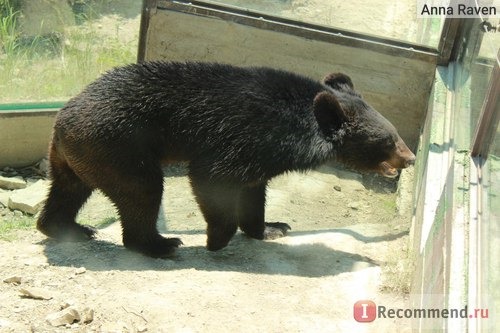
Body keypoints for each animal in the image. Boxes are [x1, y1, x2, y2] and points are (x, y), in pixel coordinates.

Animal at [37, 61, 416, 256]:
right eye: (388, 140)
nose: (411, 158)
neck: (301, 124)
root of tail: (61, 120)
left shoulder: (263, 155)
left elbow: (253, 190)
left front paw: (273, 227)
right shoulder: (245, 134)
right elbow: (213, 175)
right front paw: (217, 240)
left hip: (78, 157)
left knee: (69, 189)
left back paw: (67, 228)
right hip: (117, 145)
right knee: (142, 189)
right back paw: (160, 243)